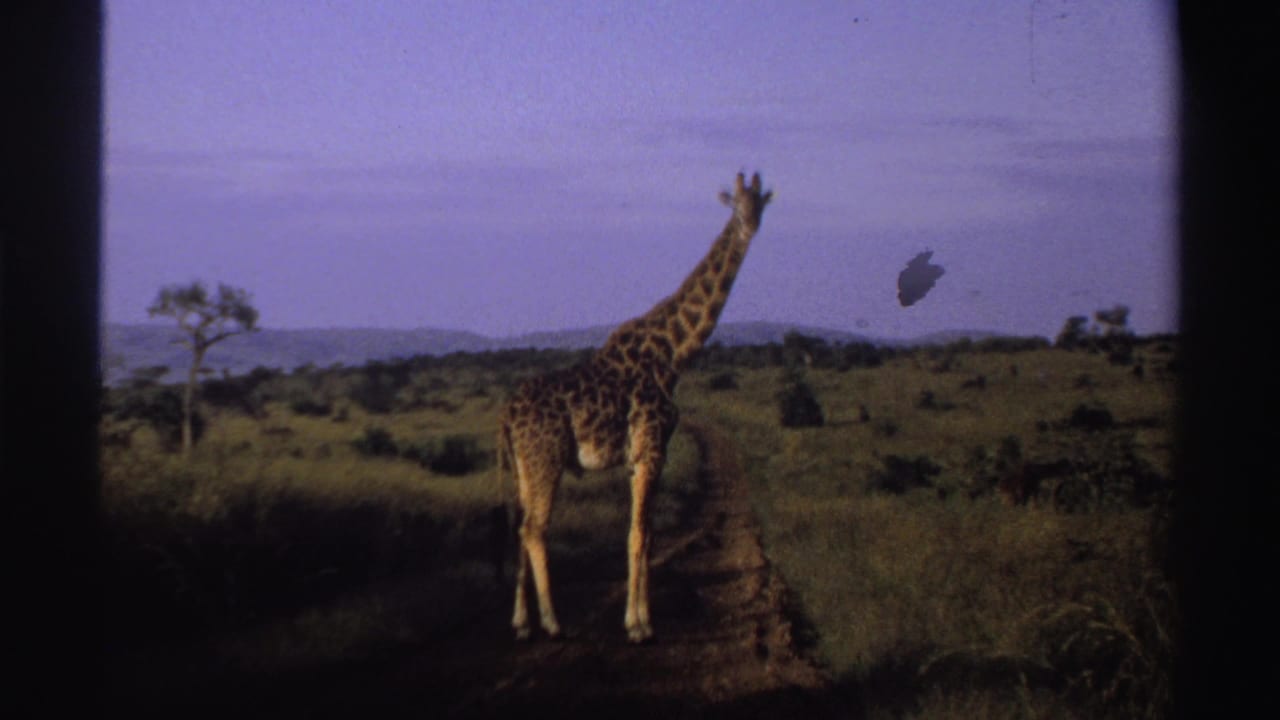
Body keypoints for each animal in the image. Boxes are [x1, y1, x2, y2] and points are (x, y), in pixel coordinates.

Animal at [498, 171, 772, 643]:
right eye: (735, 205)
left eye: (761, 204)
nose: (749, 227)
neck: (674, 354)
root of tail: (506, 416)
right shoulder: (650, 449)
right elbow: (639, 535)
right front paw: (639, 625)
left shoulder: (641, 457)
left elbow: (648, 534)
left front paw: (643, 618)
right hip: (546, 459)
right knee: (534, 528)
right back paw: (552, 622)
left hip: (523, 467)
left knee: (519, 526)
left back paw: (520, 623)